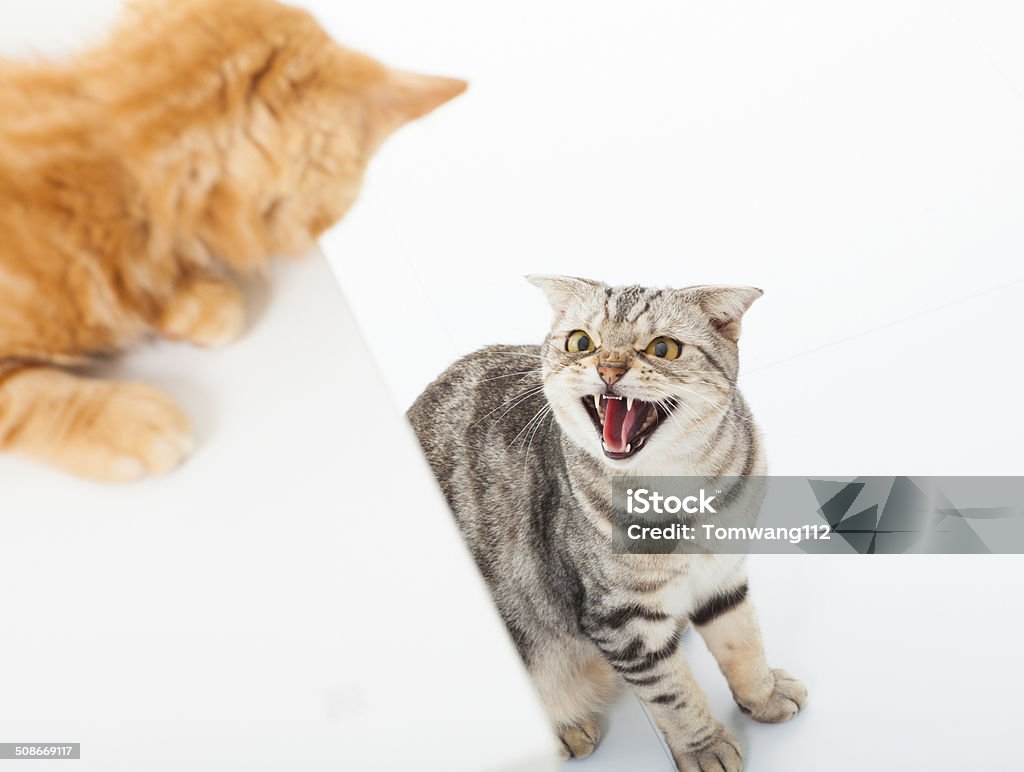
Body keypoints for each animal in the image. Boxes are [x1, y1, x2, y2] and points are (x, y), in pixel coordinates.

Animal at [405, 278, 798, 769]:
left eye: (663, 348)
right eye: (581, 343)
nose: (608, 369)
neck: (685, 491)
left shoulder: (723, 575)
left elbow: (742, 643)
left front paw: (763, 696)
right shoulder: (619, 618)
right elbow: (674, 695)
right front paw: (704, 746)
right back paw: (567, 729)